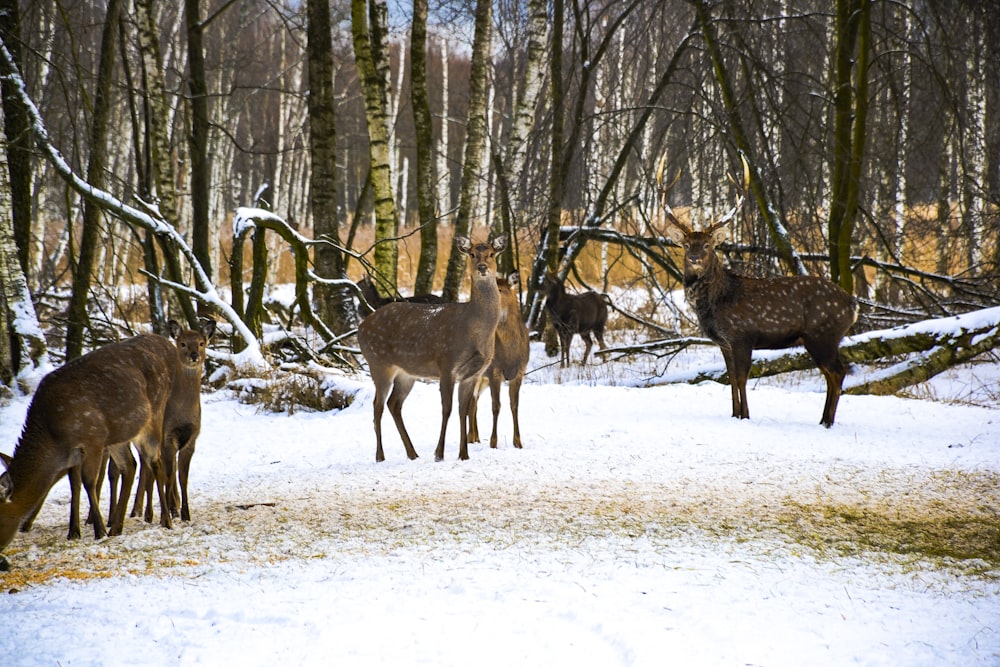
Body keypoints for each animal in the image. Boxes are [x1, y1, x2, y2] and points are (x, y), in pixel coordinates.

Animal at [360, 236, 508, 464]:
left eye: (492, 254)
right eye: (472, 254)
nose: (482, 267)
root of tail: (361, 327)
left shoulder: (472, 374)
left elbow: (463, 410)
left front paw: (463, 454)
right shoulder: (446, 364)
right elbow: (447, 409)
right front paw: (439, 453)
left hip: (406, 373)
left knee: (394, 403)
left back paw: (412, 453)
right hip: (379, 363)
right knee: (377, 405)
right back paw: (380, 456)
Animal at [468, 270, 532, 448]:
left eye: (501, 290)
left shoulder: (519, 372)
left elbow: (514, 405)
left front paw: (518, 442)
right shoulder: (494, 372)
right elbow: (496, 406)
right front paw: (493, 442)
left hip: (482, 380)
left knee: (474, 402)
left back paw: (475, 438)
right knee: (470, 402)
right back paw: (470, 437)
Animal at [656, 157, 860, 428]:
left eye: (708, 245)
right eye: (686, 244)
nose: (695, 258)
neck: (716, 302)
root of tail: (853, 305)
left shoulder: (742, 335)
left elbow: (743, 378)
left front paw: (745, 415)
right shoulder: (724, 343)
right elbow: (731, 378)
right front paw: (735, 414)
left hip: (823, 335)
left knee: (838, 372)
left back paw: (827, 422)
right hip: (820, 339)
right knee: (831, 374)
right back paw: (823, 420)